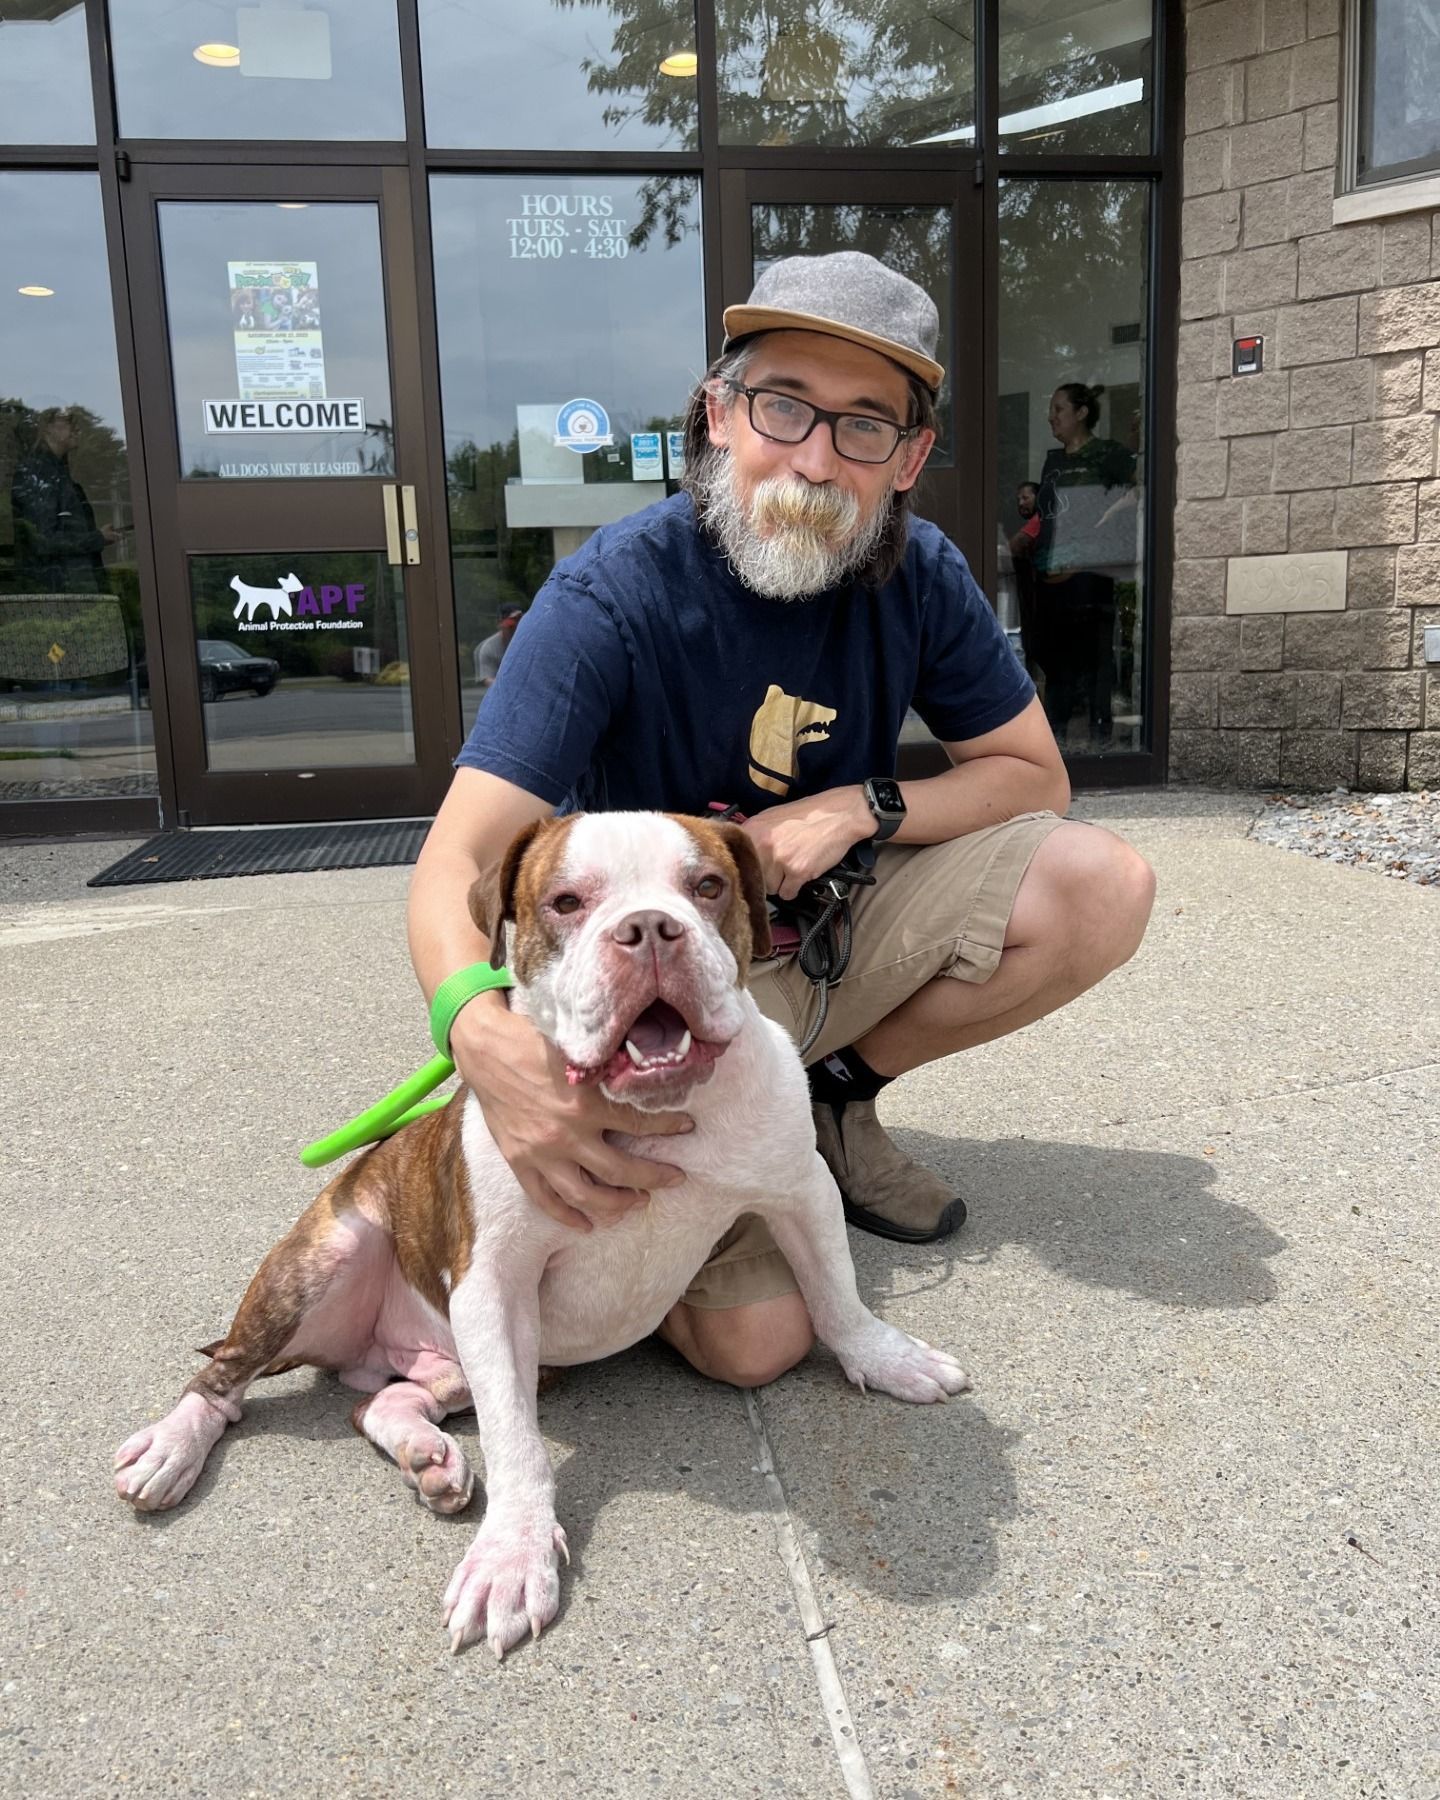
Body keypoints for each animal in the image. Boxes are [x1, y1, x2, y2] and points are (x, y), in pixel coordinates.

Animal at [112, 817, 964, 1656]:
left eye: (708, 886)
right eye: (565, 901)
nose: (649, 929)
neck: (651, 1117)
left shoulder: (800, 1189)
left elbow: (837, 1294)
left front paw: (888, 1360)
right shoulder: (492, 1285)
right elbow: (517, 1445)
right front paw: (512, 1558)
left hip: (464, 1359)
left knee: (380, 1402)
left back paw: (425, 1453)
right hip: (326, 1259)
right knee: (223, 1376)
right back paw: (172, 1447)